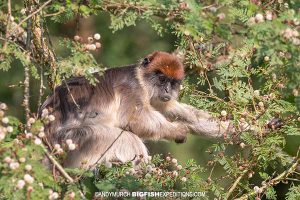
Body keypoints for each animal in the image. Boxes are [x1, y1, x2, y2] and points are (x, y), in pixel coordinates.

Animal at [41, 50, 230, 168]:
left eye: (173, 82)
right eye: (162, 79)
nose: (167, 90)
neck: (141, 79)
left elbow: (188, 117)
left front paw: (237, 130)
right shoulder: (131, 87)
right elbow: (133, 120)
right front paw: (177, 131)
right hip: (73, 141)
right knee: (128, 138)